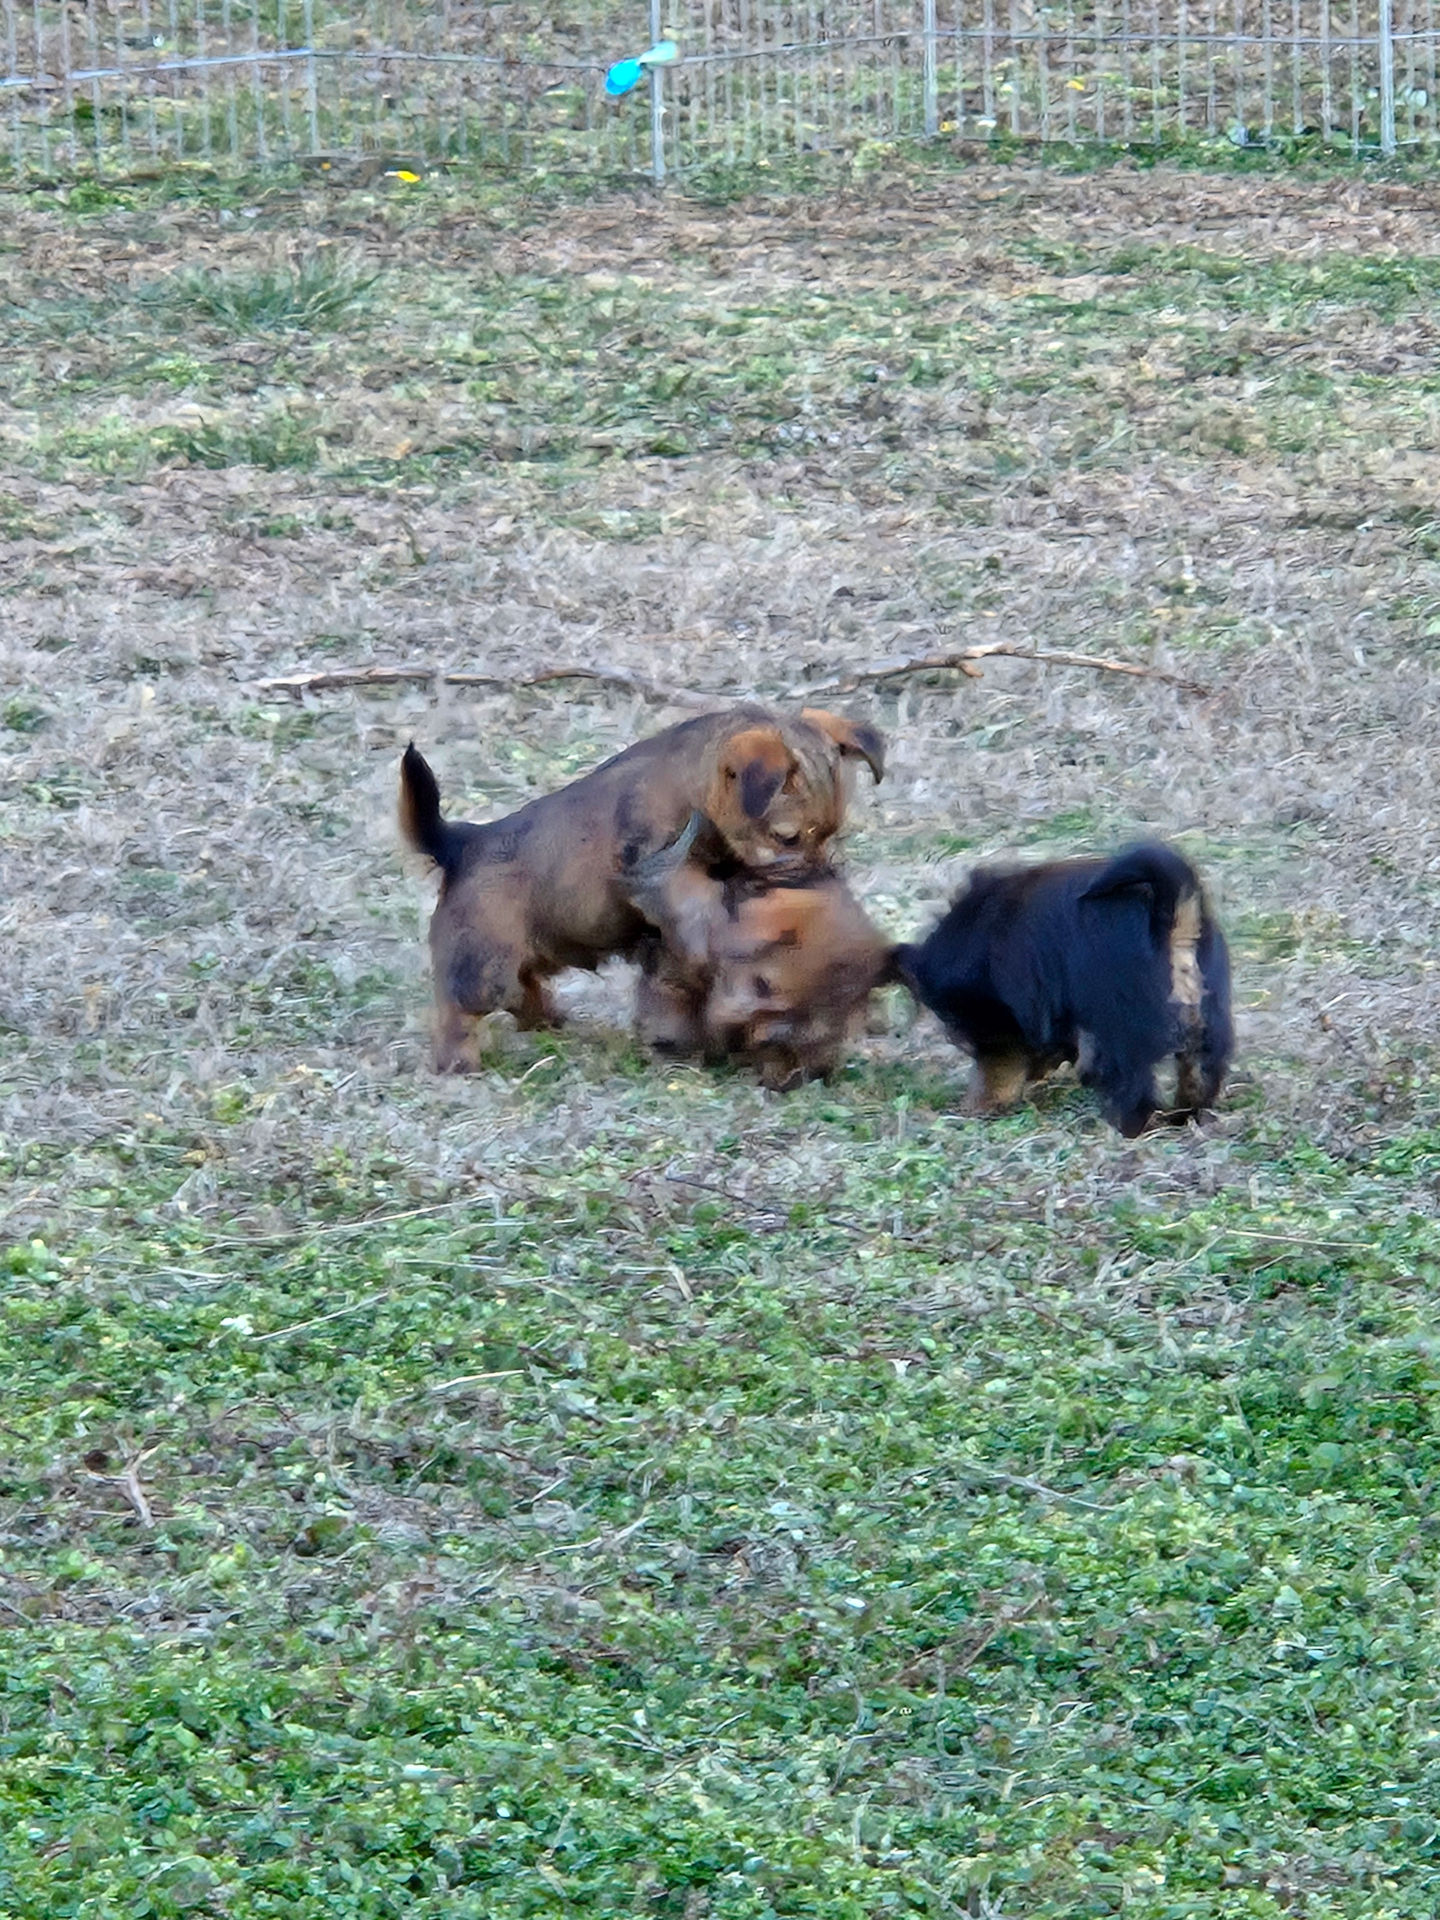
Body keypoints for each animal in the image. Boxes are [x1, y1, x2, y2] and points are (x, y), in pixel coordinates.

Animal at [892, 842, 1233, 1136]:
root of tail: (1172, 917)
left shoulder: (1011, 1017)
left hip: (1122, 1027)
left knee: (1134, 1083)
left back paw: (1126, 1127)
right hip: (1205, 1019)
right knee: (1199, 1071)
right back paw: (1184, 1115)